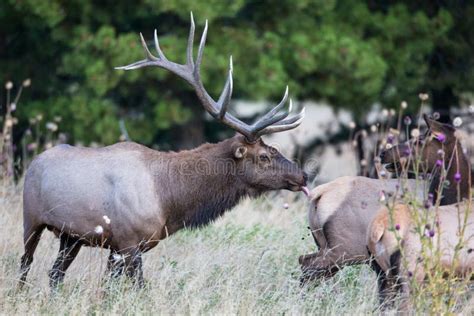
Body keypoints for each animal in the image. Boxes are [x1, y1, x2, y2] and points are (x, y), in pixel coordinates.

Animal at [17, 15, 308, 288]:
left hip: (71, 237)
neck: (169, 199)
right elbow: (138, 286)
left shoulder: (120, 247)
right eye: (264, 156)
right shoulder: (129, 241)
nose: (303, 175)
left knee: (55, 273)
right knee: (25, 264)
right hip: (31, 218)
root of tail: (34, 161)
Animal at [300, 116, 470, 296]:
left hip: (326, 246)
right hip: (345, 250)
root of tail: (318, 194)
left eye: (420, 140)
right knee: (307, 266)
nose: (384, 153)